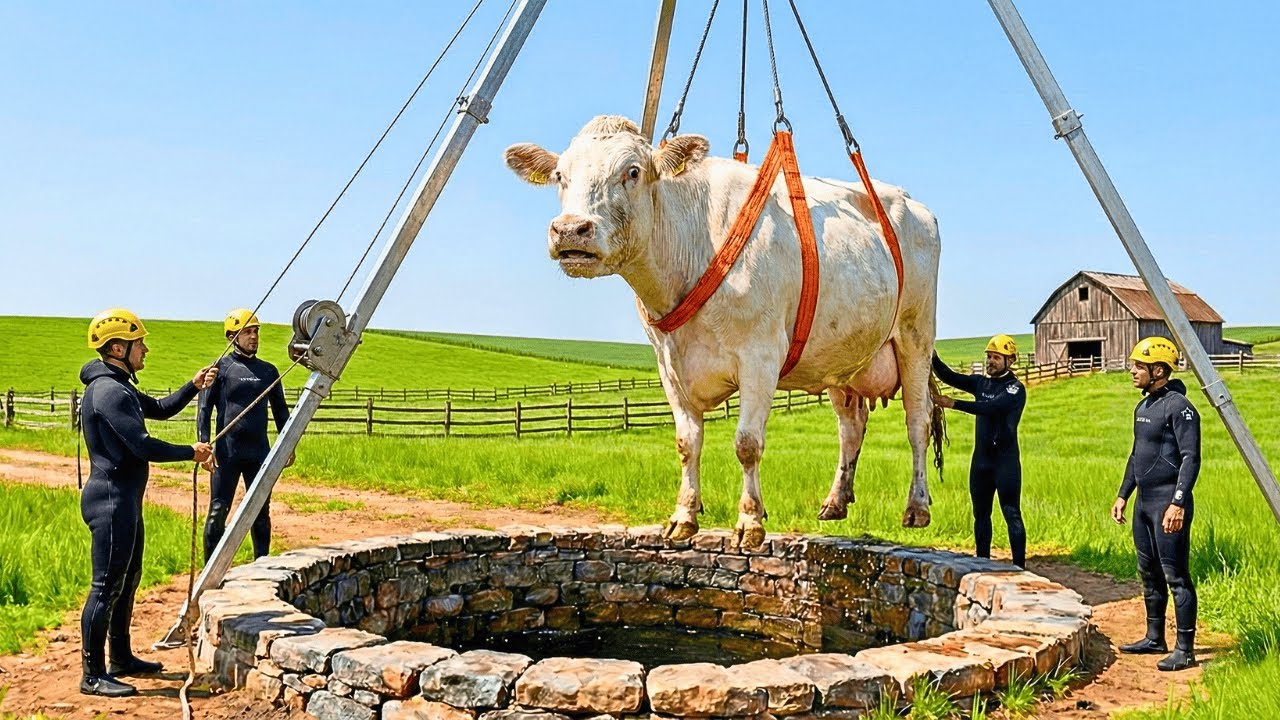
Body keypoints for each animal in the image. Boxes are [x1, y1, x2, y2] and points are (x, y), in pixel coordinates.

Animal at [505, 116, 942, 548]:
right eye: (560, 175)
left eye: (632, 171)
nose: (570, 230)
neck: (692, 244)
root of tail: (914, 203)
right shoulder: (669, 365)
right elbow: (687, 443)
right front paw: (683, 516)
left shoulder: (760, 357)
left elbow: (747, 444)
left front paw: (750, 521)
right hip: (843, 355)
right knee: (851, 426)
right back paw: (836, 501)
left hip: (915, 336)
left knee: (917, 421)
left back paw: (917, 507)